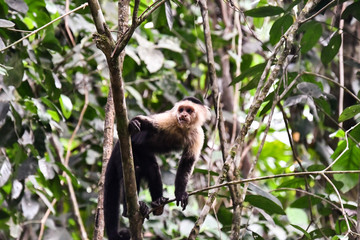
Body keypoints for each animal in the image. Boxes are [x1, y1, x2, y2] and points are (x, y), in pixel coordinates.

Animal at [104, 96, 210, 239]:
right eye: (181, 109)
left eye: (189, 110)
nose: (183, 114)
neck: (183, 129)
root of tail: (116, 147)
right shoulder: (170, 118)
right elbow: (150, 123)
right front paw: (134, 124)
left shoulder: (198, 134)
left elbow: (187, 163)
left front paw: (180, 193)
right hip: (122, 155)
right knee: (133, 172)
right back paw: (129, 210)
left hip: (143, 154)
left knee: (153, 168)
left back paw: (158, 203)